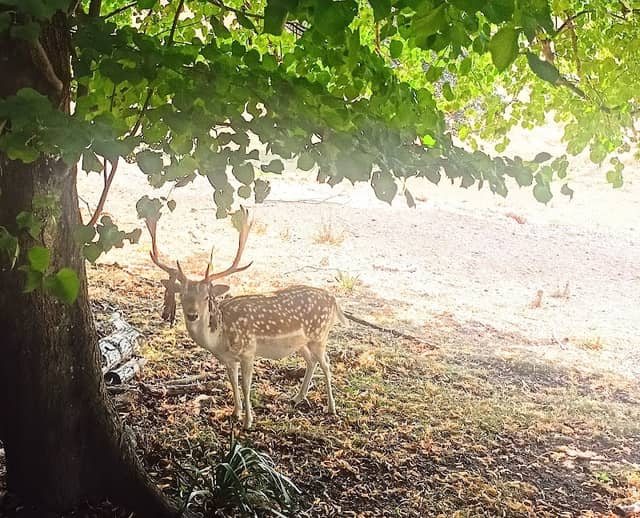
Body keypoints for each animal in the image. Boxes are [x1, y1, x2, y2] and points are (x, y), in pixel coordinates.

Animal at [145, 208, 346, 429]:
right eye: (181, 295)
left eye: (206, 297)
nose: (192, 314)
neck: (220, 338)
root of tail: (334, 299)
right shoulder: (227, 359)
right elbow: (232, 381)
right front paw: (235, 413)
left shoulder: (249, 351)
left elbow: (245, 384)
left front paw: (248, 421)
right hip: (302, 341)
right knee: (311, 362)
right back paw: (296, 398)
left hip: (319, 335)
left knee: (326, 364)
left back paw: (331, 407)